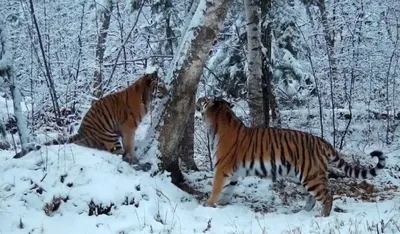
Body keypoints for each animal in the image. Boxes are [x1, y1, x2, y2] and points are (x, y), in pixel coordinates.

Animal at [13, 72, 167, 165]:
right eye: (160, 86)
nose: (168, 92)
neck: (145, 97)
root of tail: (81, 132)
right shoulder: (128, 128)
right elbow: (129, 146)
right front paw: (135, 159)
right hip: (109, 135)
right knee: (116, 153)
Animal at [195, 96, 386, 217]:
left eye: (204, 99)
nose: (198, 99)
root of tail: (321, 140)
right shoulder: (233, 173)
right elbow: (227, 190)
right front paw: (222, 204)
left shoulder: (222, 168)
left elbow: (216, 188)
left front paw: (208, 205)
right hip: (300, 177)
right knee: (312, 198)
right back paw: (301, 213)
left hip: (311, 176)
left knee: (327, 196)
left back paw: (322, 216)